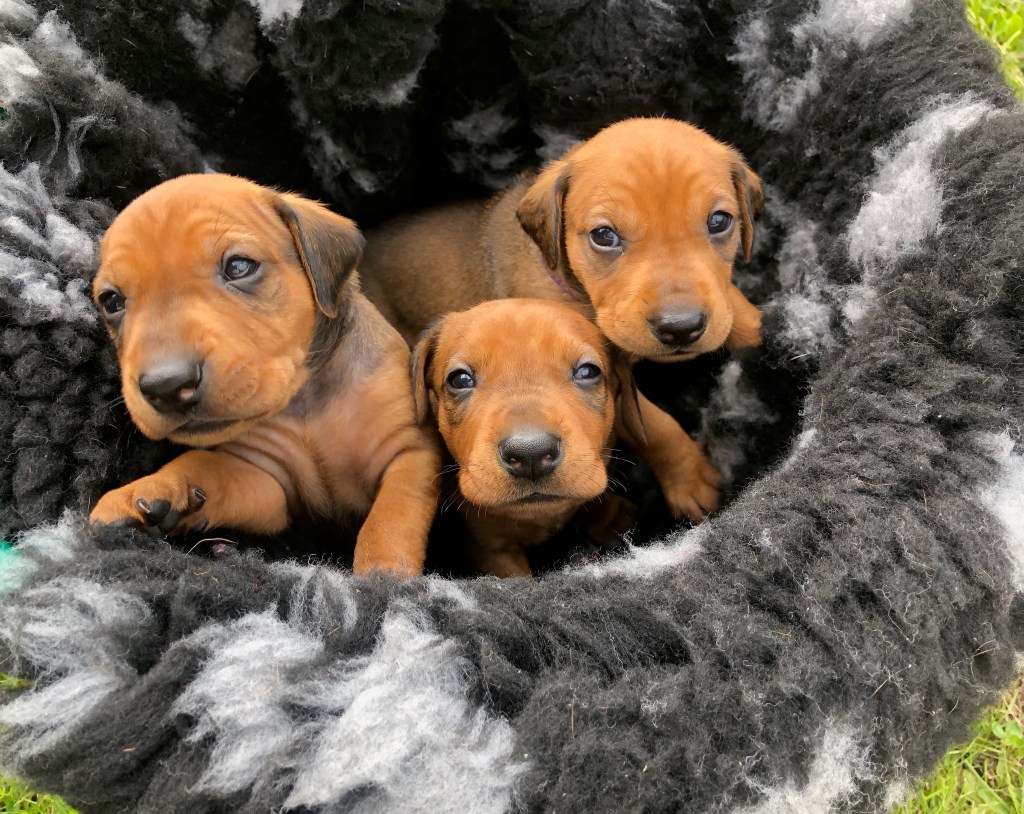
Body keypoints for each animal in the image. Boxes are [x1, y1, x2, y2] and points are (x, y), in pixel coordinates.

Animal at [88, 174, 440, 577]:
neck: (306, 403)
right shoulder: (269, 484)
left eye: (239, 266)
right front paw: (149, 489)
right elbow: (206, 463)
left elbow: (390, 518)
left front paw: (382, 575)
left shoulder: (410, 452)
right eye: (112, 301)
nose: (167, 385)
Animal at [361, 117, 763, 522]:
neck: (577, 291)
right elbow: (654, 423)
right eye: (603, 235)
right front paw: (690, 478)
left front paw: (756, 325)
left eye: (719, 221)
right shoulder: (612, 373)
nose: (681, 327)